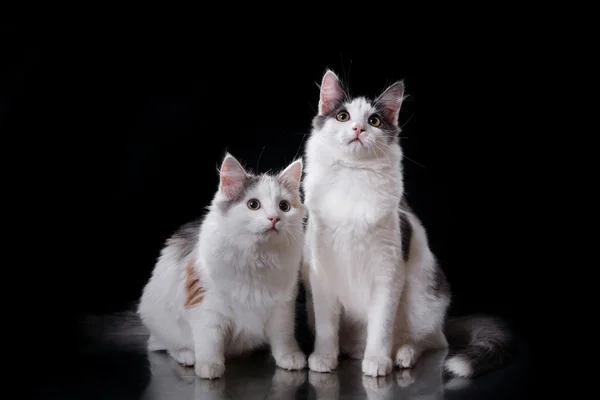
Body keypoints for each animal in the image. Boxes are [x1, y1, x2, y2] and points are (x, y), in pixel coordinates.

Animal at [138, 152, 308, 378]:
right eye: (253, 205)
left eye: (284, 207)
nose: (274, 219)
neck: (258, 259)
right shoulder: (207, 306)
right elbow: (210, 342)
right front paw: (209, 366)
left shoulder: (282, 307)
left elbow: (283, 337)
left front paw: (290, 357)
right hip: (162, 319)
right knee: (163, 345)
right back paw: (187, 356)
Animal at [300, 70, 510, 380]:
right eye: (342, 116)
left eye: (374, 121)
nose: (358, 129)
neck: (354, 178)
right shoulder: (321, 273)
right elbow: (328, 327)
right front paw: (324, 357)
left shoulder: (389, 271)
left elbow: (381, 326)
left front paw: (377, 361)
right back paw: (351, 350)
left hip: (423, 298)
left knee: (433, 341)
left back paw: (403, 355)